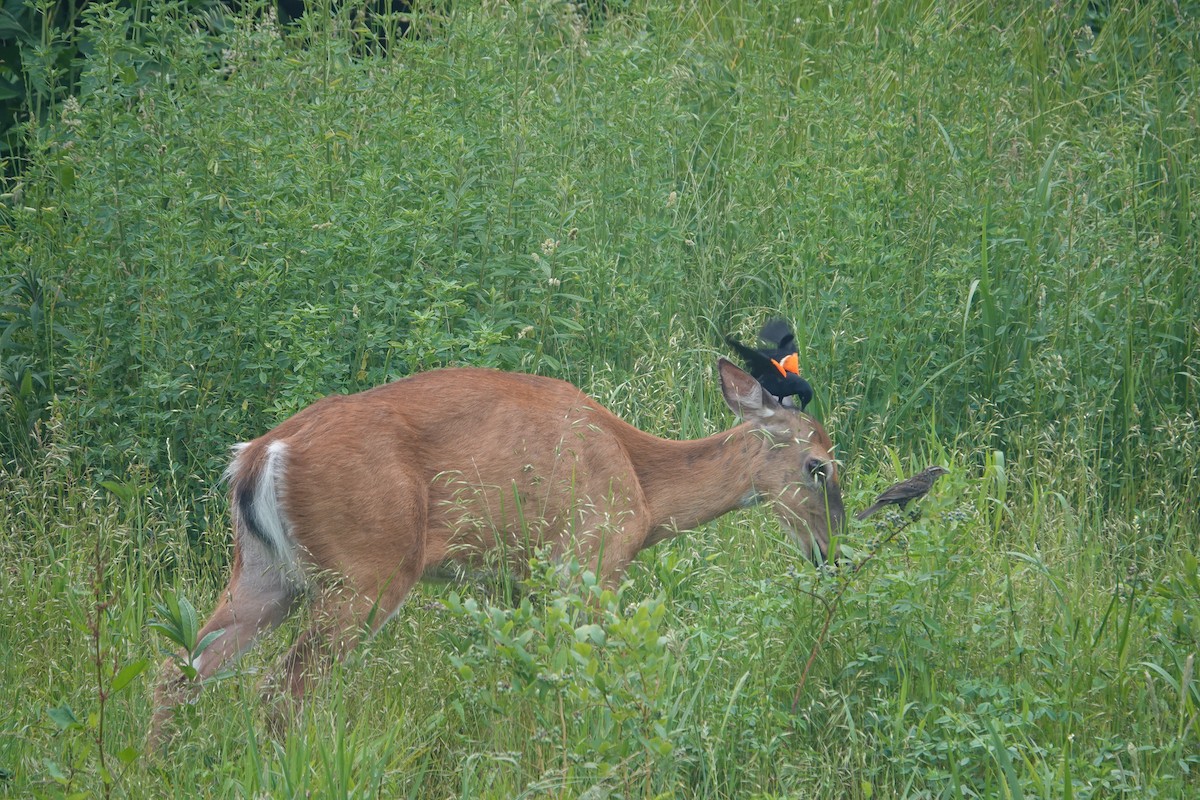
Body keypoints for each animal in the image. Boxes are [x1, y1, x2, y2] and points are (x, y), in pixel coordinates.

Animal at [150, 357, 844, 743]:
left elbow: (530, 676)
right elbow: (592, 674)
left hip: (266, 573)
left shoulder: (519, 584)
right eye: (820, 466)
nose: (831, 553)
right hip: (366, 571)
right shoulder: (589, 562)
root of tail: (260, 454)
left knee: (177, 673)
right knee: (282, 689)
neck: (644, 491)